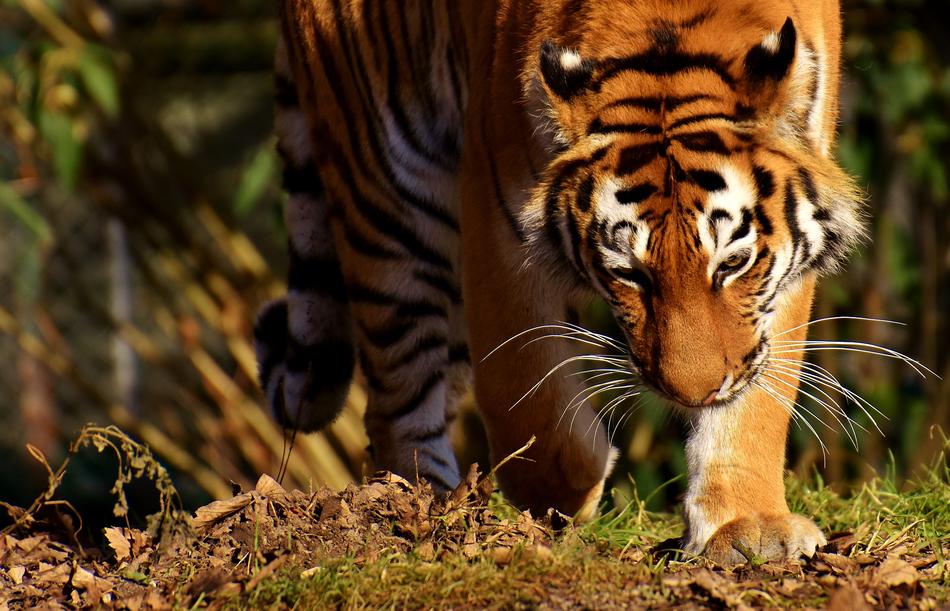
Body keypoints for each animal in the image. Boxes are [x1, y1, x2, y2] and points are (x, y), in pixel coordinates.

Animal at [254, 0, 864, 564]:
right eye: (629, 272)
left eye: (732, 264)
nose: (690, 394)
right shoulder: (495, 216)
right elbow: (521, 389)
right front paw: (571, 491)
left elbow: (758, 402)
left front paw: (747, 525)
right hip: (386, 192)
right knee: (396, 396)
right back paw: (426, 508)